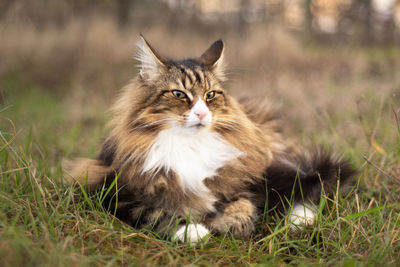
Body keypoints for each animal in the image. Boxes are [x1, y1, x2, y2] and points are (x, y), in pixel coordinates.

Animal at [64, 36, 358, 245]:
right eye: (179, 94)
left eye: (210, 95)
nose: (202, 113)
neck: (188, 145)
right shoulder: (115, 192)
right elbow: (157, 213)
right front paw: (193, 230)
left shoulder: (245, 180)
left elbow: (246, 206)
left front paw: (225, 222)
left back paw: (302, 218)